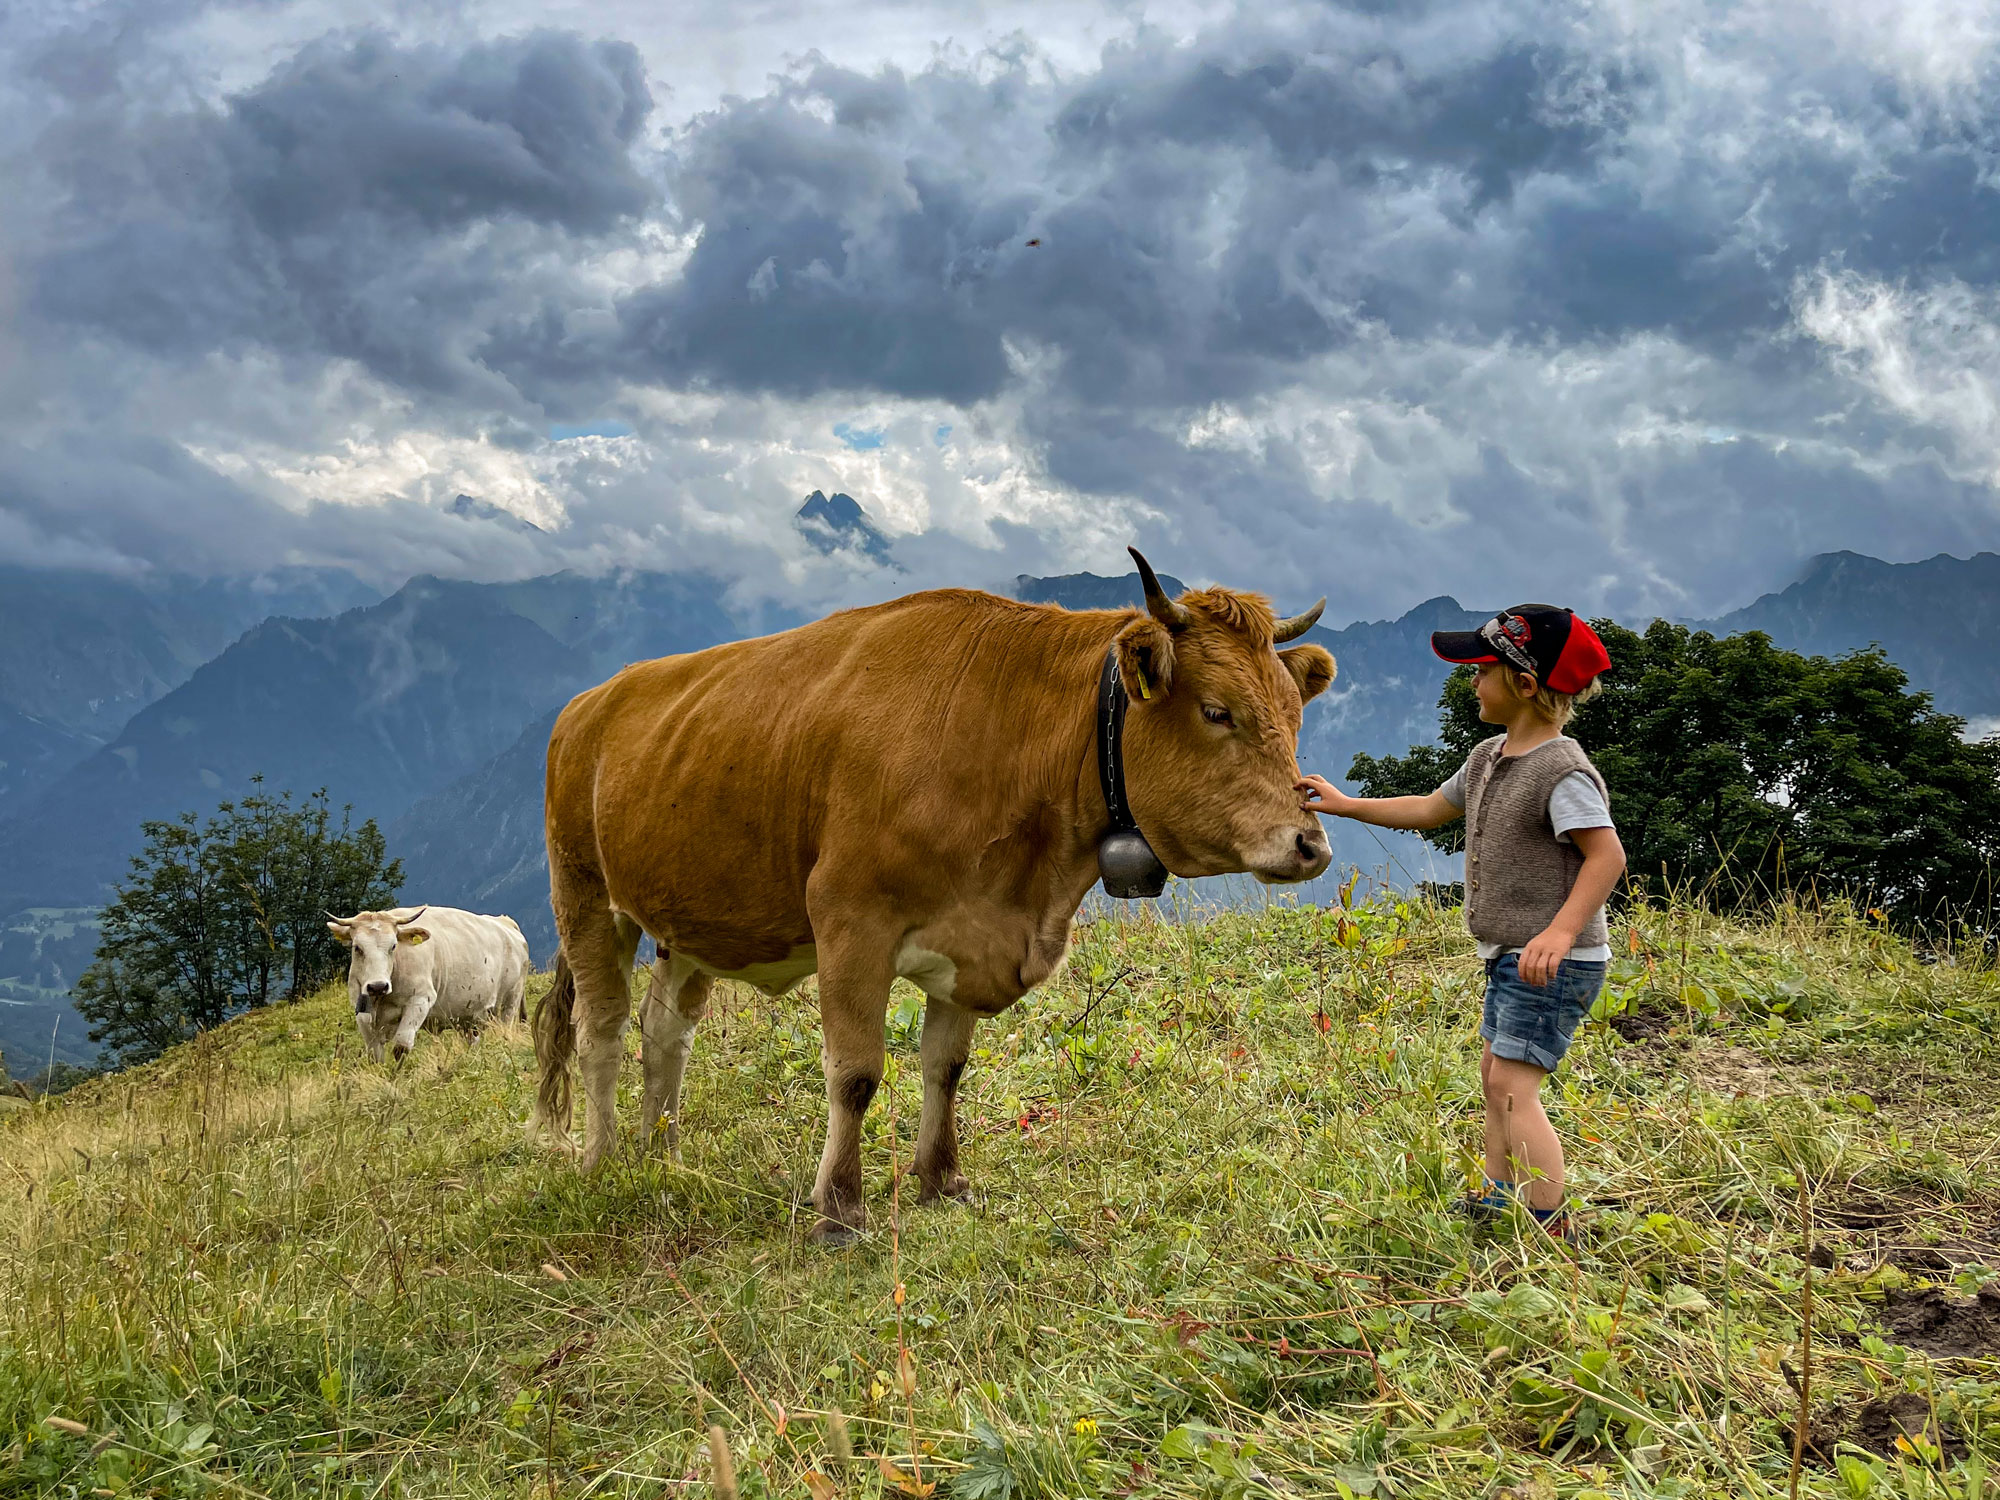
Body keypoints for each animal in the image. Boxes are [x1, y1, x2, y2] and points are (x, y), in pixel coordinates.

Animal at [328, 912, 532, 1064]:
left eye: (393, 946)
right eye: (357, 947)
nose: (378, 986)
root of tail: (505, 922)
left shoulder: (420, 1000)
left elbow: (401, 1047)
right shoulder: (362, 1013)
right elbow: (375, 1055)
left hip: (510, 1001)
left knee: (505, 1029)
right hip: (469, 1014)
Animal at [540, 552, 1336, 1248]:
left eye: (1293, 715)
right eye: (1217, 711)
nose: (1311, 845)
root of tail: (589, 702)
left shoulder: (975, 934)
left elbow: (944, 1066)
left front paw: (942, 1180)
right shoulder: (849, 922)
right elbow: (855, 1073)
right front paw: (839, 1209)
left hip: (691, 918)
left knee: (665, 1028)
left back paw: (665, 1158)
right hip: (584, 892)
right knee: (601, 1028)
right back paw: (602, 1161)